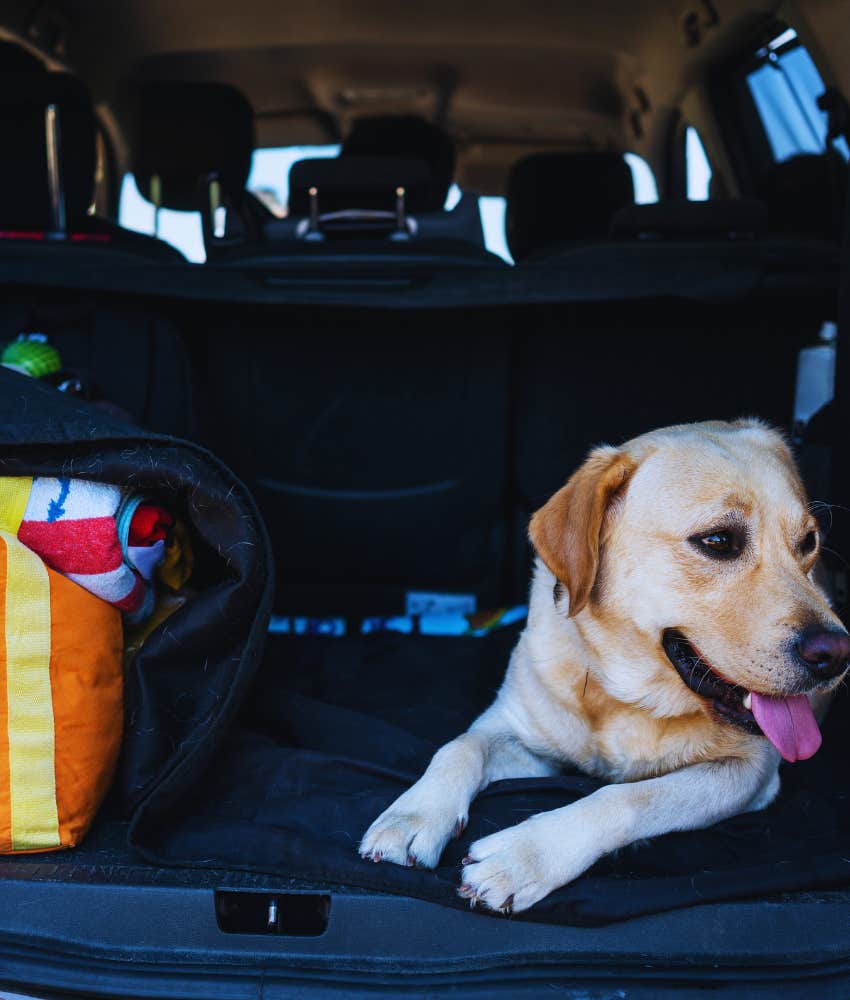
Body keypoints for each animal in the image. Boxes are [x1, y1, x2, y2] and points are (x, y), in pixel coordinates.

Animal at [358, 420, 848, 916]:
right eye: (717, 541)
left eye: (808, 543)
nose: (835, 654)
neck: (623, 694)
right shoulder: (516, 728)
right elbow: (459, 747)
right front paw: (414, 815)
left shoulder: (749, 772)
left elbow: (627, 796)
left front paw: (524, 856)